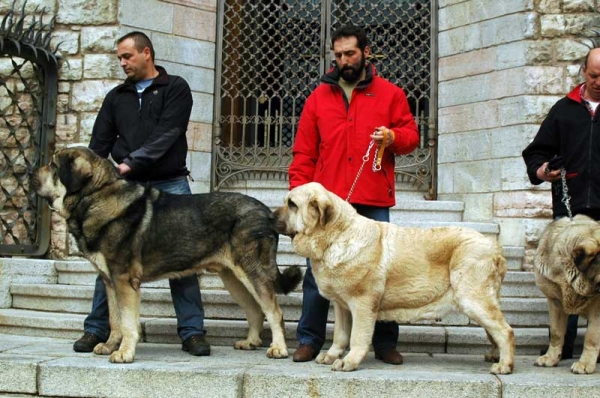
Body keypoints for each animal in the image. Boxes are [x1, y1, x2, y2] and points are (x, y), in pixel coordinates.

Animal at [32, 147, 300, 364]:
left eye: (53, 165)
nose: (32, 172)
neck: (96, 195)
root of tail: (267, 212)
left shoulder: (124, 281)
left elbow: (127, 322)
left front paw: (124, 353)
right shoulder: (109, 281)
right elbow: (115, 320)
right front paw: (109, 346)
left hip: (252, 272)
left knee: (274, 312)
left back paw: (279, 349)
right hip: (233, 278)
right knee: (256, 310)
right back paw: (251, 342)